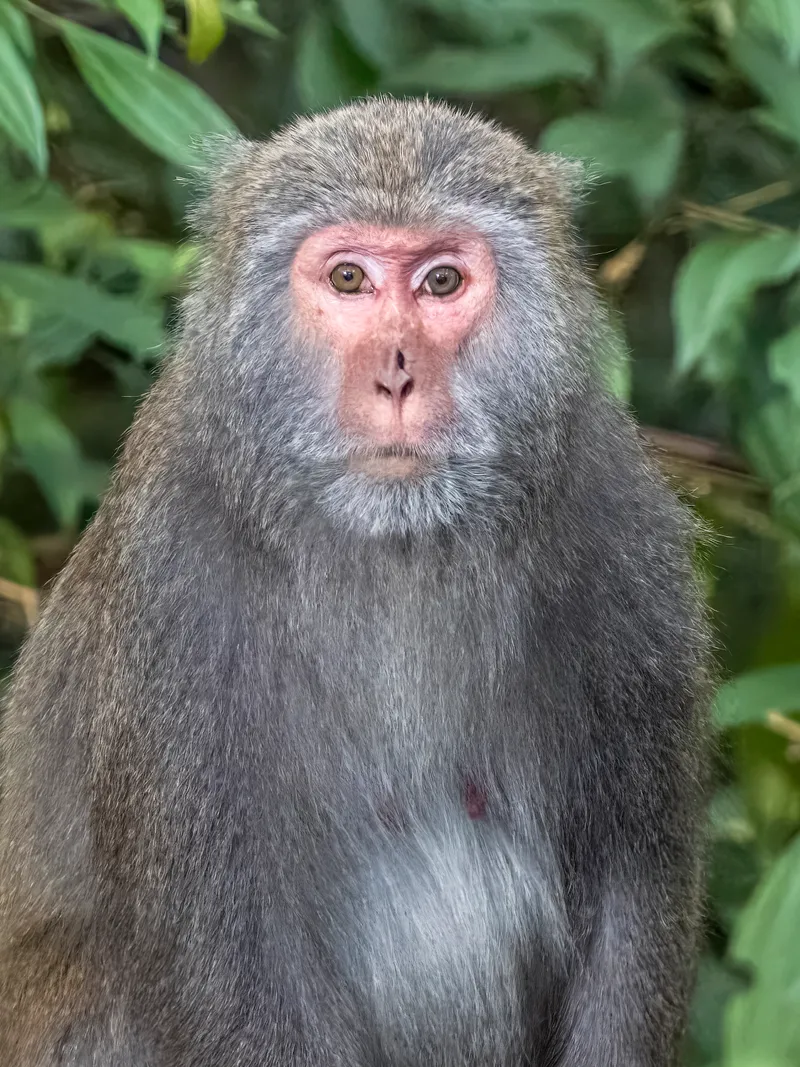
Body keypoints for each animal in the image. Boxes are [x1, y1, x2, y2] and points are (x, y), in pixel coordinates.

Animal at [0, 97, 710, 1067]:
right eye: (348, 278)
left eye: (442, 282)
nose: (397, 373)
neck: (392, 544)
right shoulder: (171, 590)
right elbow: (234, 962)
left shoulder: (621, 529)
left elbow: (633, 887)